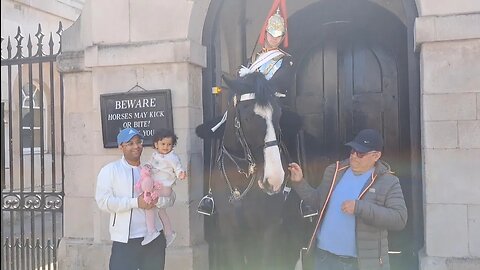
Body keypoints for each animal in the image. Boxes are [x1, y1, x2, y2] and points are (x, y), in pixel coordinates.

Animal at [196, 72, 304, 270]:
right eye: (248, 118)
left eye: (278, 115)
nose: (275, 179)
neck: (242, 175)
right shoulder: (230, 229)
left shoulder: (269, 226)